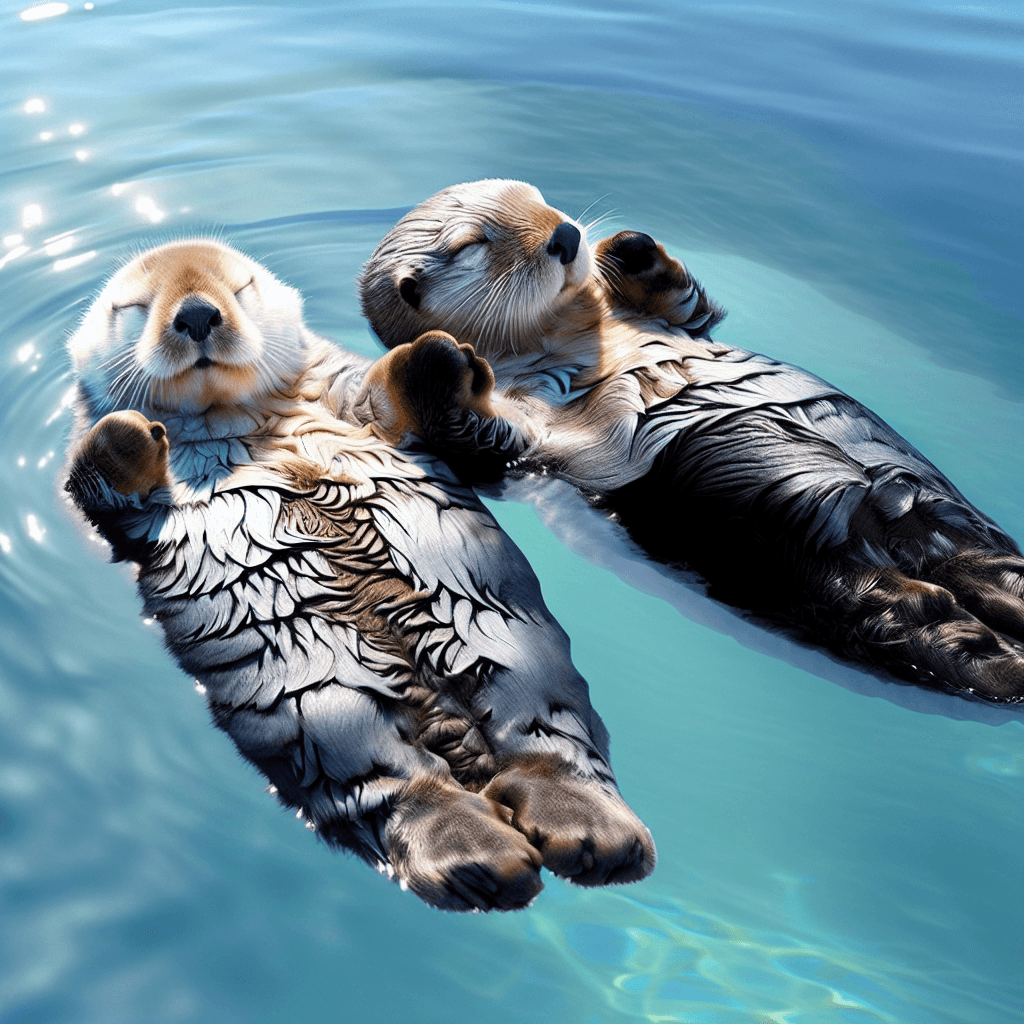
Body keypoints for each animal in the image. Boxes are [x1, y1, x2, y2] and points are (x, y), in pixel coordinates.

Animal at [63, 239, 655, 912]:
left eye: (240, 288)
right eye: (135, 307)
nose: (195, 314)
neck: (241, 420)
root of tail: (444, 720)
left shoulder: (354, 397)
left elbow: (436, 419)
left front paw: (440, 355)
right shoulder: (122, 511)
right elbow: (97, 484)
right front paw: (132, 431)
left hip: (510, 648)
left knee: (548, 741)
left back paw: (590, 832)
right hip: (321, 698)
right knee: (394, 785)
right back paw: (481, 857)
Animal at [359, 179, 1024, 703]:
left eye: (540, 196)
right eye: (473, 244)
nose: (566, 235)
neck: (565, 332)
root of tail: (892, 533)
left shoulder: (675, 322)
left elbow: (689, 307)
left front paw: (629, 249)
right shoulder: (525, 426)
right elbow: (475, 436)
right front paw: (438, 356)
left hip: (947, 523)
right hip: (767, 548)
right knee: (892, 607)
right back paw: (978, 642)